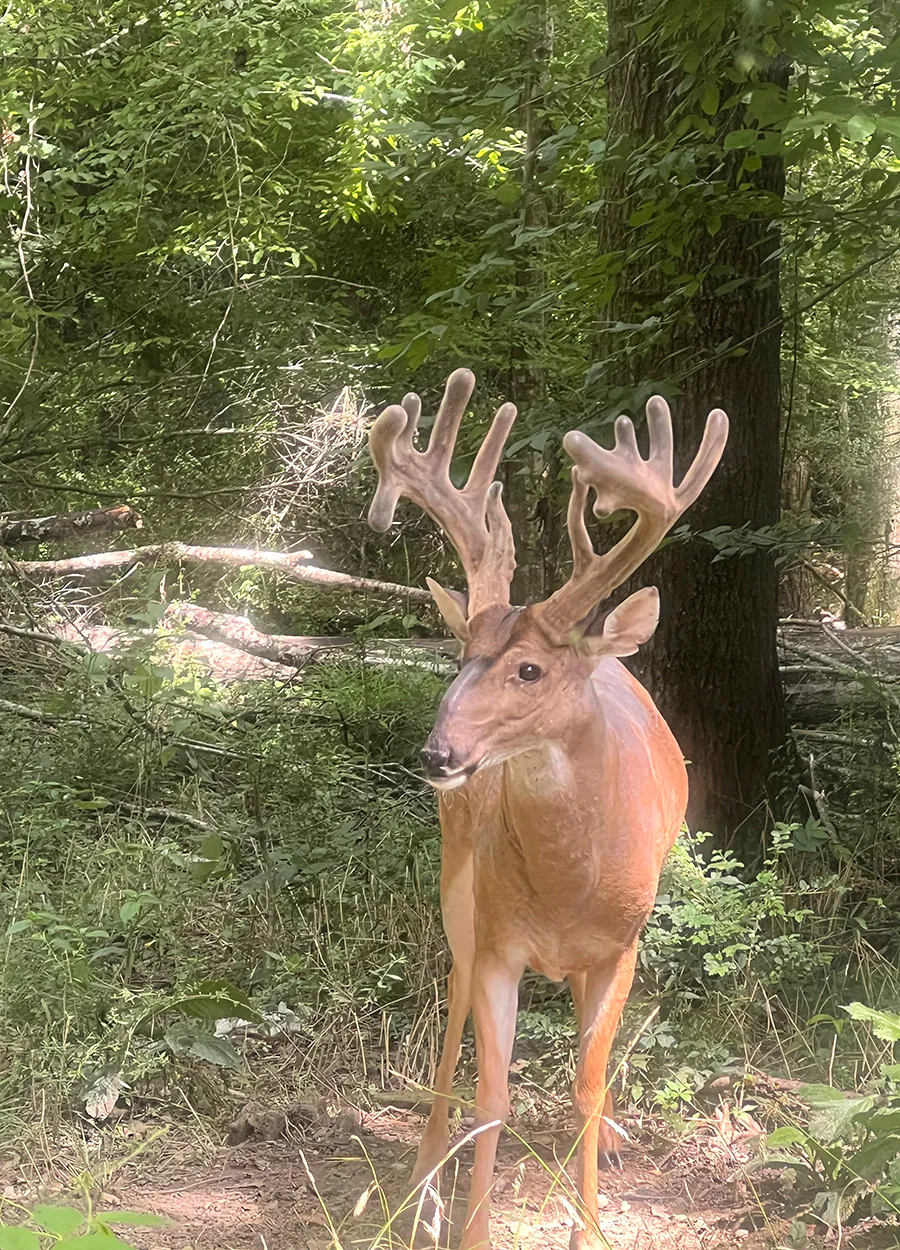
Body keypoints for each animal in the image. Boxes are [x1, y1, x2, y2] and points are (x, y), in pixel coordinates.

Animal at [367, 368, 728, 1250]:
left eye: (528, 669)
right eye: (461, 656)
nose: (438, 754)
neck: (571, 886)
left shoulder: (622, 945)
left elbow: (585, 1088)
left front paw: (589, 1226)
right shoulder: (501, 942)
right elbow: (492, 1095)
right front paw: (468, 1227)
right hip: (458, 883)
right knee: (451, 1010)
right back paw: (419, 1186)